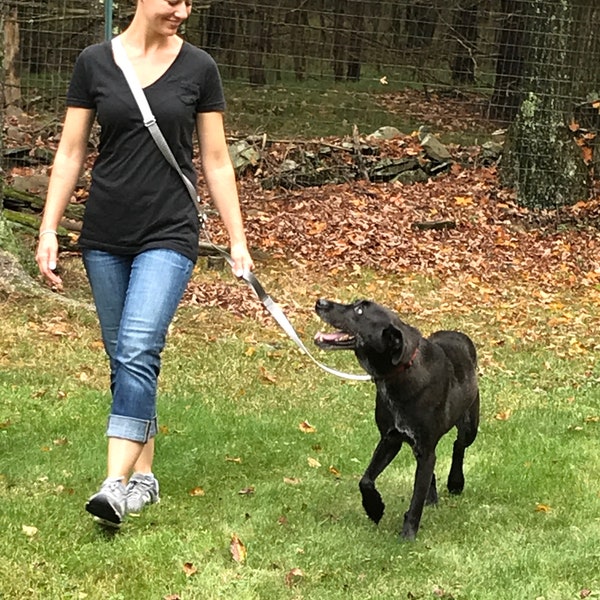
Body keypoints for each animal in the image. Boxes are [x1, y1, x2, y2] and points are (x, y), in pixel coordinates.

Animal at [314, 298, 478, 540]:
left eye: (359, 311)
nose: (320, 302)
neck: (398, 374)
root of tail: (460, 335)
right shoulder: (390, 439)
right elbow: (366, 480)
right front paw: (374, 508)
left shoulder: (423, 447)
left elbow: (415, 500)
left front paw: (407, 536)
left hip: (470, 424)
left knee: (459, 445)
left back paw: (455, 481)